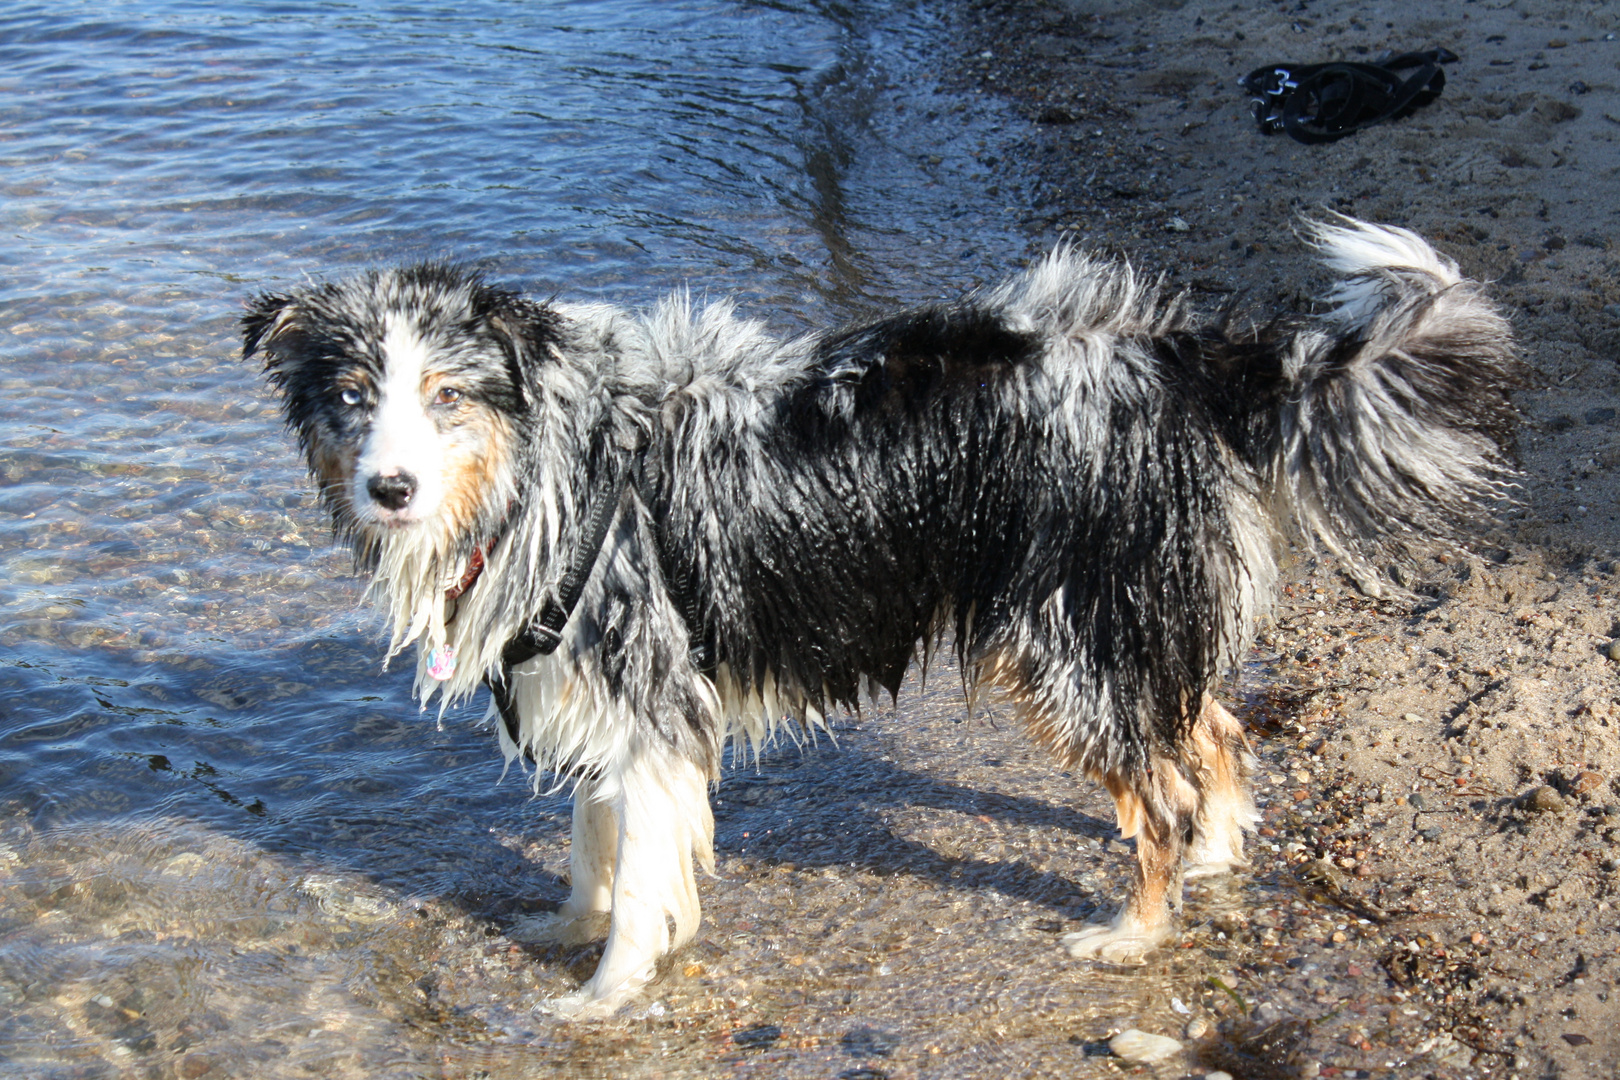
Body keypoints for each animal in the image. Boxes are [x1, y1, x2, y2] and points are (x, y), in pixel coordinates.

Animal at [243, 223, 1516, 1016]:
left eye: (447, 397)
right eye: (353, 396)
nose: (389, 488)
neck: (552, 459)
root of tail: (1172, 353)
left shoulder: (651, 691)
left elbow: (645, 873)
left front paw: (602, 995)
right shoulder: (594, 689)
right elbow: (596, 842)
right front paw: (568, 928)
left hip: (1067, 639)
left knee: (1155, 785)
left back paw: (1136, 926)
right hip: (1128, 617)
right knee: (1212, 729)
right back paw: (1214, 853)